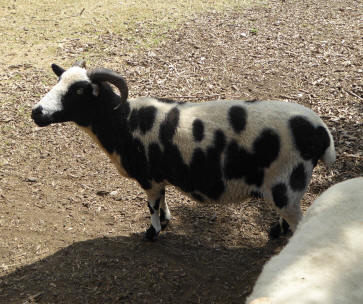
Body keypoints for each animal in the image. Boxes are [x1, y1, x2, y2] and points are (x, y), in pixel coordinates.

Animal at [29, 61, 336, 240]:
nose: (36, 113)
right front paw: (165, 222)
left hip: (287, 182)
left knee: (297, 220)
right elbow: (163, 200)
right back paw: (276, 231)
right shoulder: (158, 177)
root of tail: (322, 131)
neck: (123, 121)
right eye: (58, 82)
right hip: (283, 188)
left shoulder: (148, 177)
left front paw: (152, 232)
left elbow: (151, 205)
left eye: (79, 91)